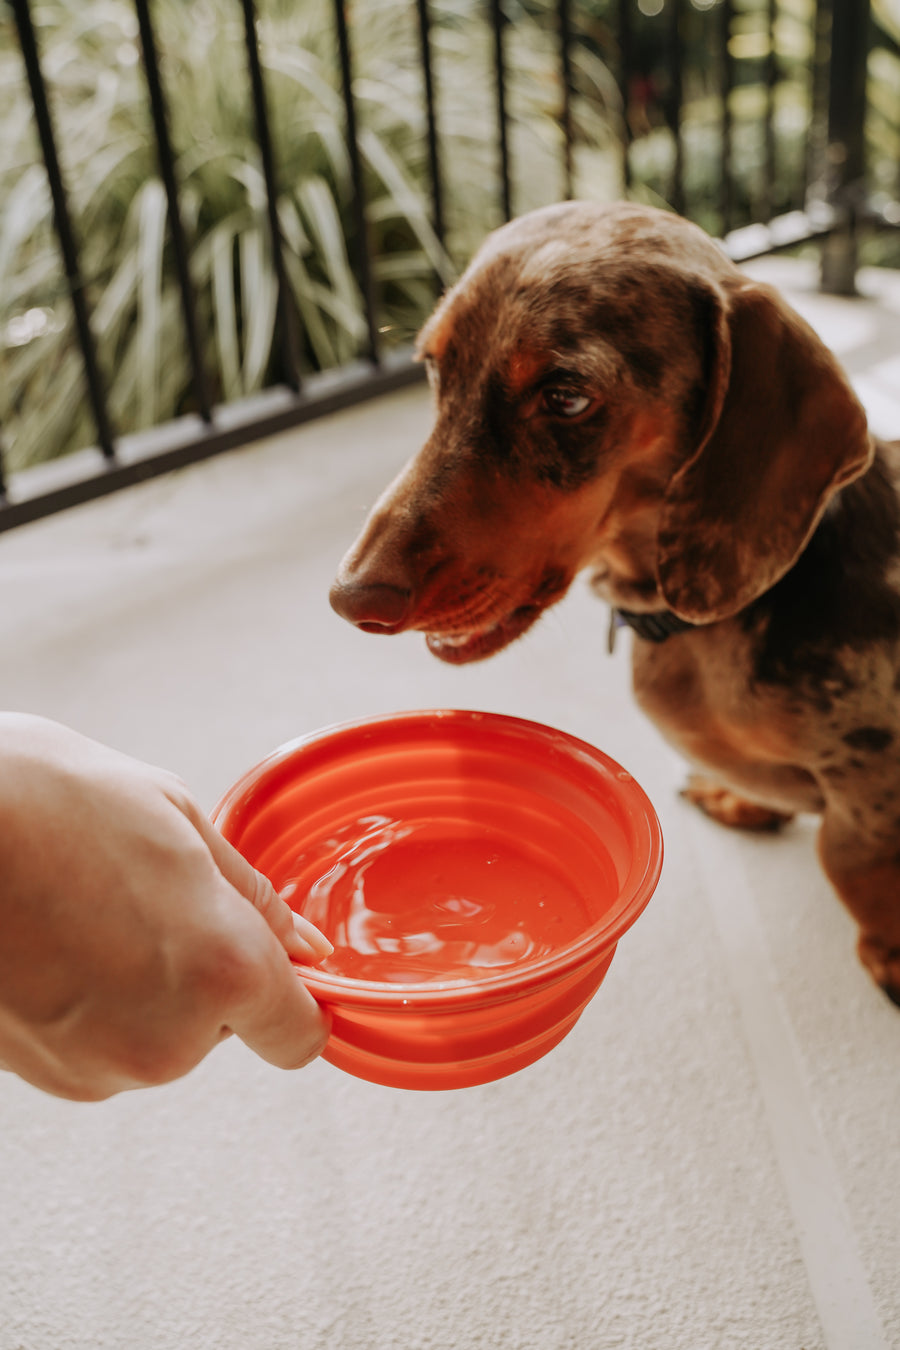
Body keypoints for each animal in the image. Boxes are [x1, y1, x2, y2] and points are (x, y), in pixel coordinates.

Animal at [327, 199, 900, 1004]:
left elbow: (853, 864)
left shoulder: (872, 785)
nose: (351, 596)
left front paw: (889, 954)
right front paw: (743, 798)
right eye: (436, 366)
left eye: (566, 396)